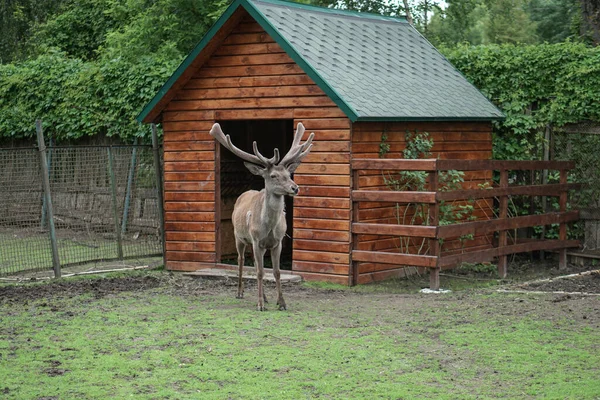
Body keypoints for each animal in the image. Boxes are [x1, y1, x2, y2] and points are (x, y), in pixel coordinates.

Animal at [210, 122, 314, 312]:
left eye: (289, 174)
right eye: (273, 175)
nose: (295, 188)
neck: (269, 227)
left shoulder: (276, 242)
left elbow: (275, 272)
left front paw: (281, 303)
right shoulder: (257, 239)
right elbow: (259, 272)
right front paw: (259, 304)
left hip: (257, 244)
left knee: (256, 263)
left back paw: (265, 297)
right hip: (239, 237)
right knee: (242, 260)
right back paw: (240, 292)